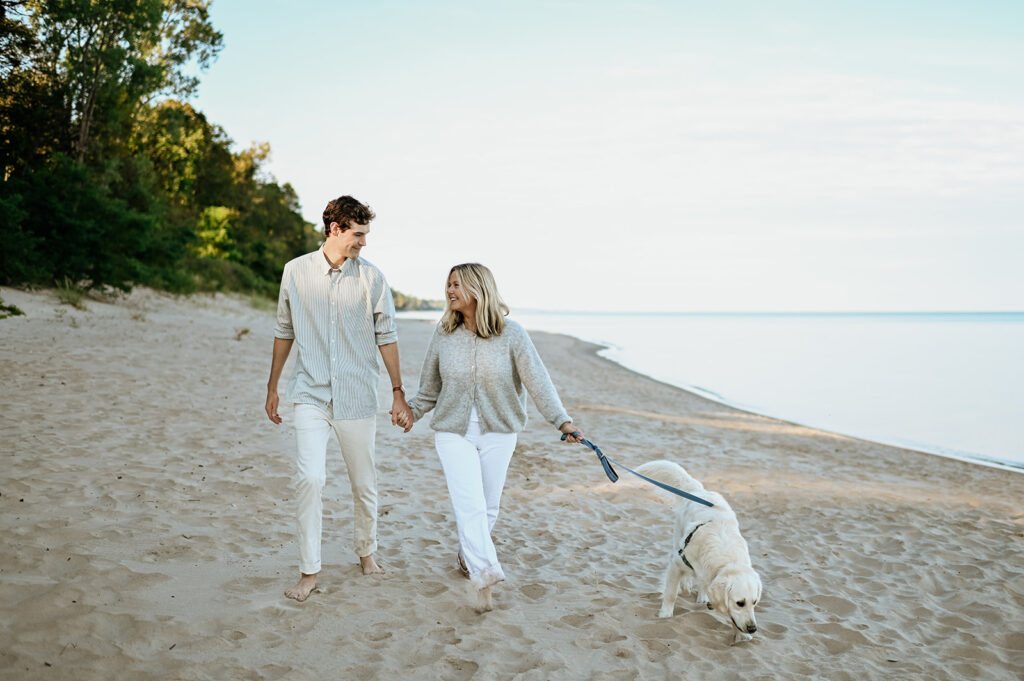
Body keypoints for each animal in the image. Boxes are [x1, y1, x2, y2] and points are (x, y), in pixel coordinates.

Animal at [634, 456, 765, 643]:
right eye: (740, 603)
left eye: (754, 602)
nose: (753, 628)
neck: (727, 561)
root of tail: (699, 490)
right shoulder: (676, 562)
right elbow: (671, 593)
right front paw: (665, 614)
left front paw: (741, 635)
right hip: (678, 538)